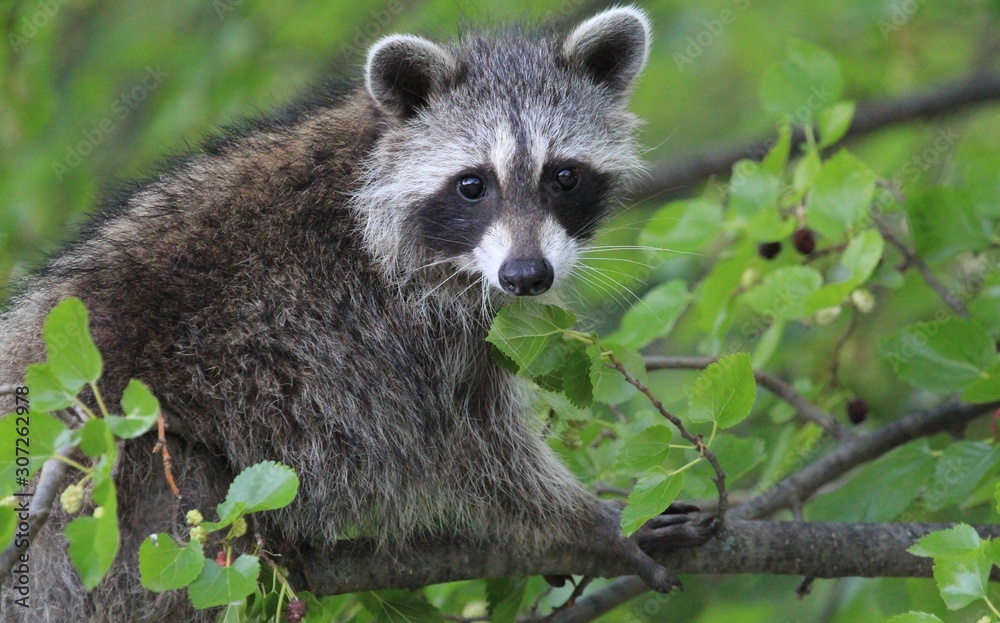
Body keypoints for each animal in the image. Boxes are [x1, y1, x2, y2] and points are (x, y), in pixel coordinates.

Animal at [0, 7, 709, 622]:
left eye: (563, 176)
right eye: (472, 184)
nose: (527, 276)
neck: (371, 172)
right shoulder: (386, 332)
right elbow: (469, 452)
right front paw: (587, 524)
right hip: (130, 504)